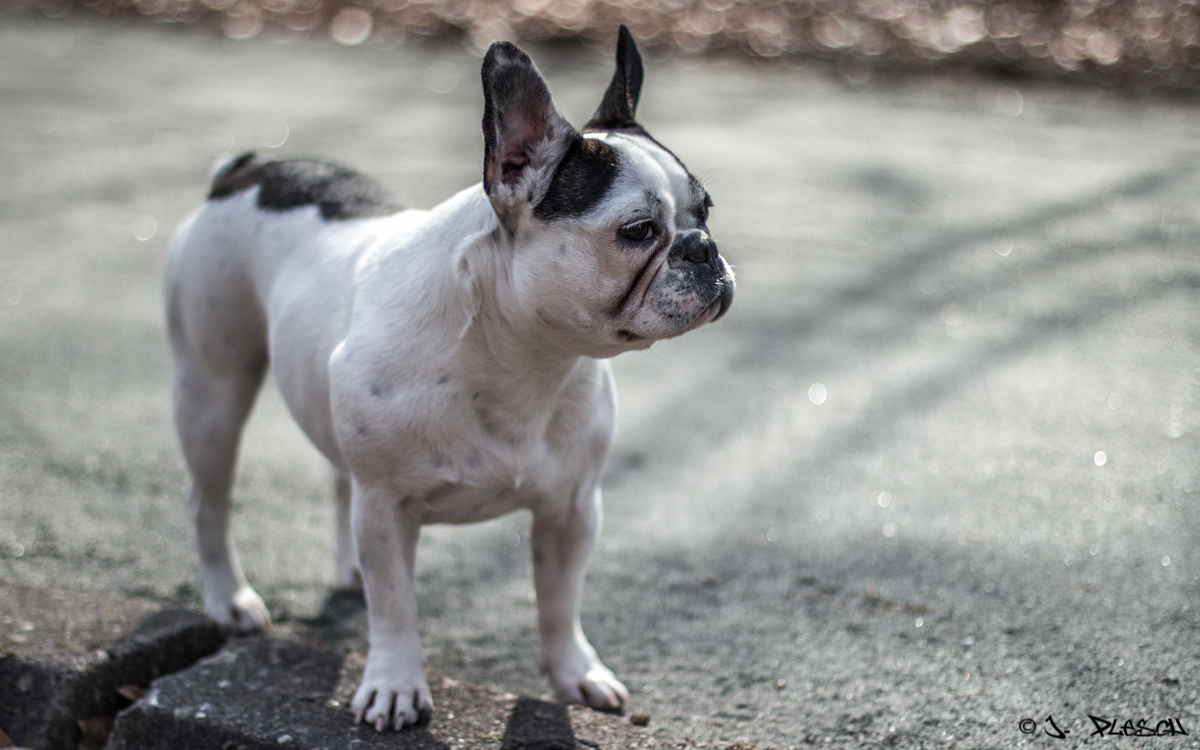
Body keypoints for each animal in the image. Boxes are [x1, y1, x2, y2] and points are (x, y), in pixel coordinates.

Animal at [166, 26, 729, 729]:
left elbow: (559, 599)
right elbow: (396, 605)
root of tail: (246, 170)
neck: (522, 356)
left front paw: (575, 674)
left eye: (707, 211)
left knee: (337, 477)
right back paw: (230, 599)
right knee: (209, 501)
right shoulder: (387, 507)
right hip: (211, 389)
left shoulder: (572, 509)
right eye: (637, 231)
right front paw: (395, 684)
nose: (704, 249)